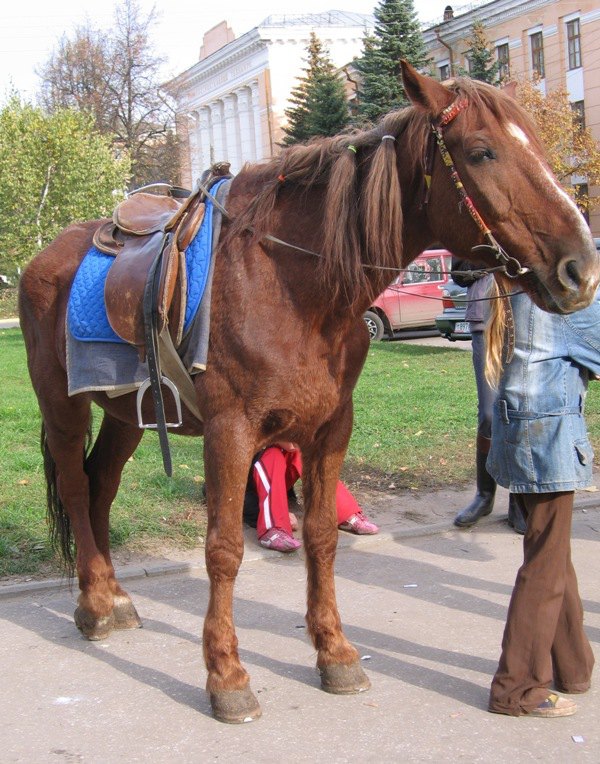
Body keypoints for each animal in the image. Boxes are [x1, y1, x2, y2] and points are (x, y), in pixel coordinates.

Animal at [18, 61, 600, 724]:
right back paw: (93, 605)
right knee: (74, 483)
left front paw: (335, 654)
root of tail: (44, 258)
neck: (292, 284)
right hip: (63, 407)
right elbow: (224, 549)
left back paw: (112, 596)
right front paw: (226, 675)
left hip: (125, 416)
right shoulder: (230, 431)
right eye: (481, 152)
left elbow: (321, 536)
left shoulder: (330, 429)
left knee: (100, 486)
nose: (581, 270)